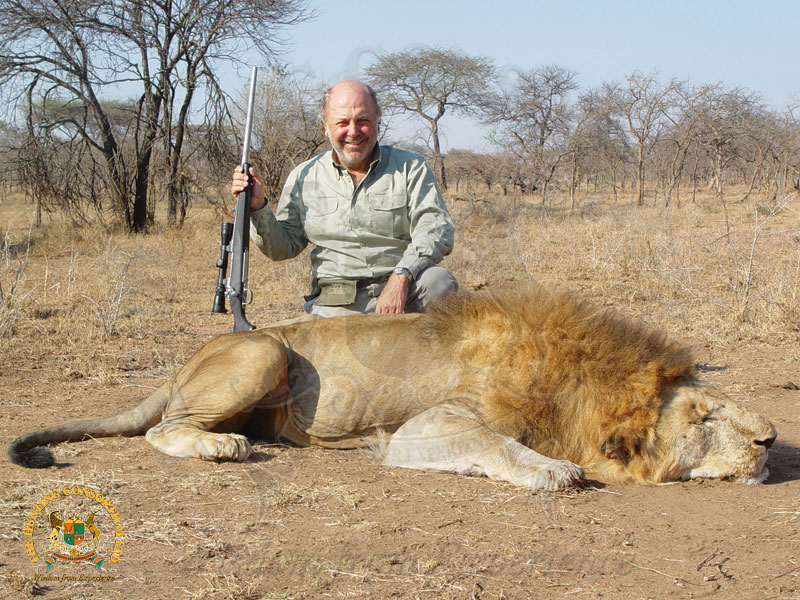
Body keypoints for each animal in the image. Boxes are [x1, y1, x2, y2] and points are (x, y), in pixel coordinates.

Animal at [8, 286, 776, 490]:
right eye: (703, 417)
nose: (772, 440)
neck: (576, 385)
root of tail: (186, 360)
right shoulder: (427, 427)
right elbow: (502, 447)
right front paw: (553, 471)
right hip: (262, 349)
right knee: (165, 427)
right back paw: (223, 447)